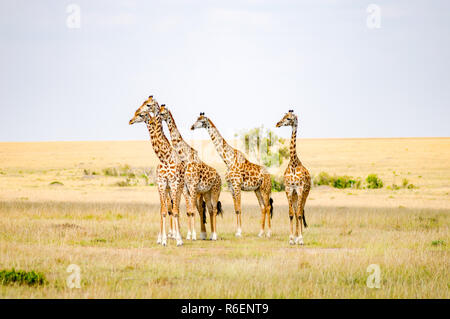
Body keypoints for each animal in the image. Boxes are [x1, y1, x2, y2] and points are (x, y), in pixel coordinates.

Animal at [129, 95, 185, 248]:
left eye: (148, 105)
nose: (130, 120)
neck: (164, 157)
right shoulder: (161, 184)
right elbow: (163, 211)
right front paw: (163, 239)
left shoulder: (173, 183)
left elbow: (175, 211)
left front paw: (178, 239)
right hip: (166, 189)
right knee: (168, 208)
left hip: (179, 188)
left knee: (177, 208)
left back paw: (179, 236)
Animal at [160, 106, 223, 241]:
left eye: (201, 120)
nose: (192, 127)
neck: (186, 157)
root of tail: (219, 177)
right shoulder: (186, 189)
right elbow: (189, 211)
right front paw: (189, 235)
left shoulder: (193, 187)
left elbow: (192, 210)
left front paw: (192, 235)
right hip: (206, 193)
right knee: (209, 209)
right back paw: (209, 235)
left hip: (215, 191)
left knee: (213, 209)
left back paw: (213, 235)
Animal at [276, 110, 312, 245]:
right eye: (283, 116)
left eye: (289, 118)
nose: (278, 123)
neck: (293, 163)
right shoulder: (289, 189)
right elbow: (291, 214)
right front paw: (291, 239)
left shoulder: (300, 189)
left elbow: (299, 214)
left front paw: (300, 239)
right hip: (295, 195)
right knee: (297, 212)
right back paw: (296, 237)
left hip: (305, 193)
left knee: (301, 211)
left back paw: (299, 238)